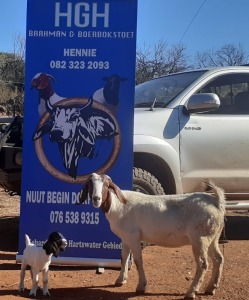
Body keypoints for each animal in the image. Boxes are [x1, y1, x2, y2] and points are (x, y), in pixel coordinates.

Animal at [79, 173, 226, 300]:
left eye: (106, 185)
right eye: (90, 184)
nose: (96, 199)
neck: (118, 205)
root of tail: (216, 201)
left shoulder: (133, 237)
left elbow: (138, 261)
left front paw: (141, 286)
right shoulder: (125, 238)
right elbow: (124, 258)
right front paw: (120, 280)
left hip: (200, 238)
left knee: (203, 264)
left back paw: (191, 292)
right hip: (213, 237)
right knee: (218, 259)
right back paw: (211, 288)